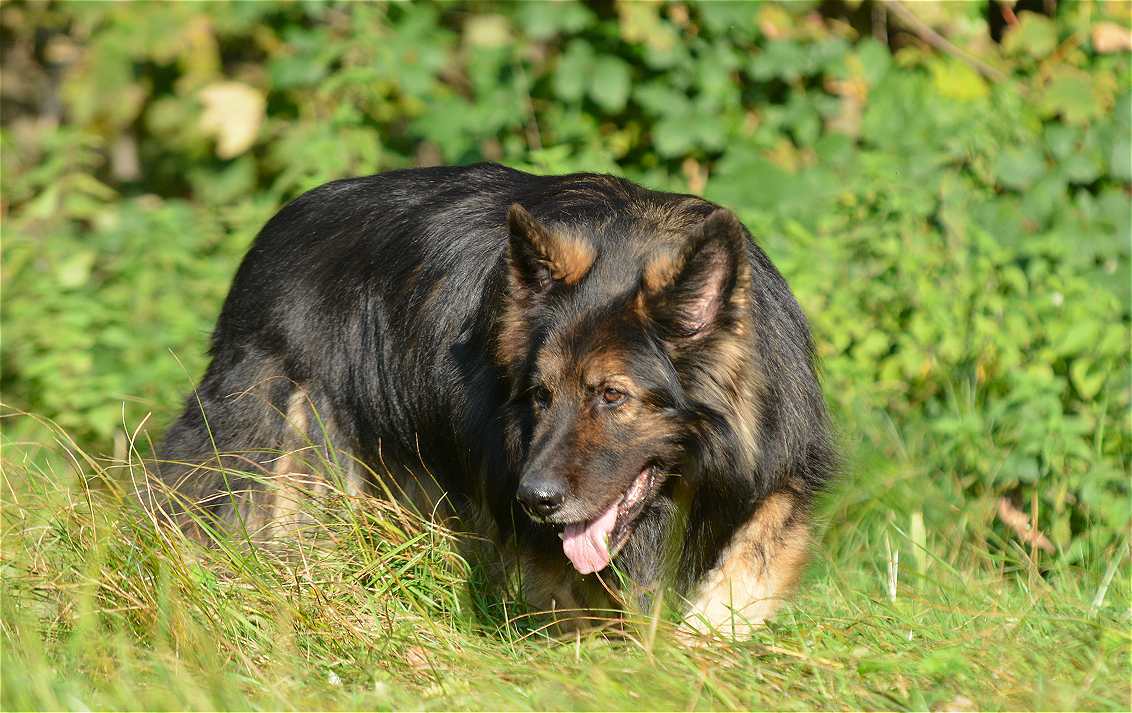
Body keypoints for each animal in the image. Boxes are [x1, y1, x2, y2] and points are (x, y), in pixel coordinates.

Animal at [154, 163, 835, 637]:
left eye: (611, 395)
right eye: (540, 394)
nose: (536, 499)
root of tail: (275, 228)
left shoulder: (780, 473)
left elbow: (747, 571)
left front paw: (700, 647)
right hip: (281, 459)